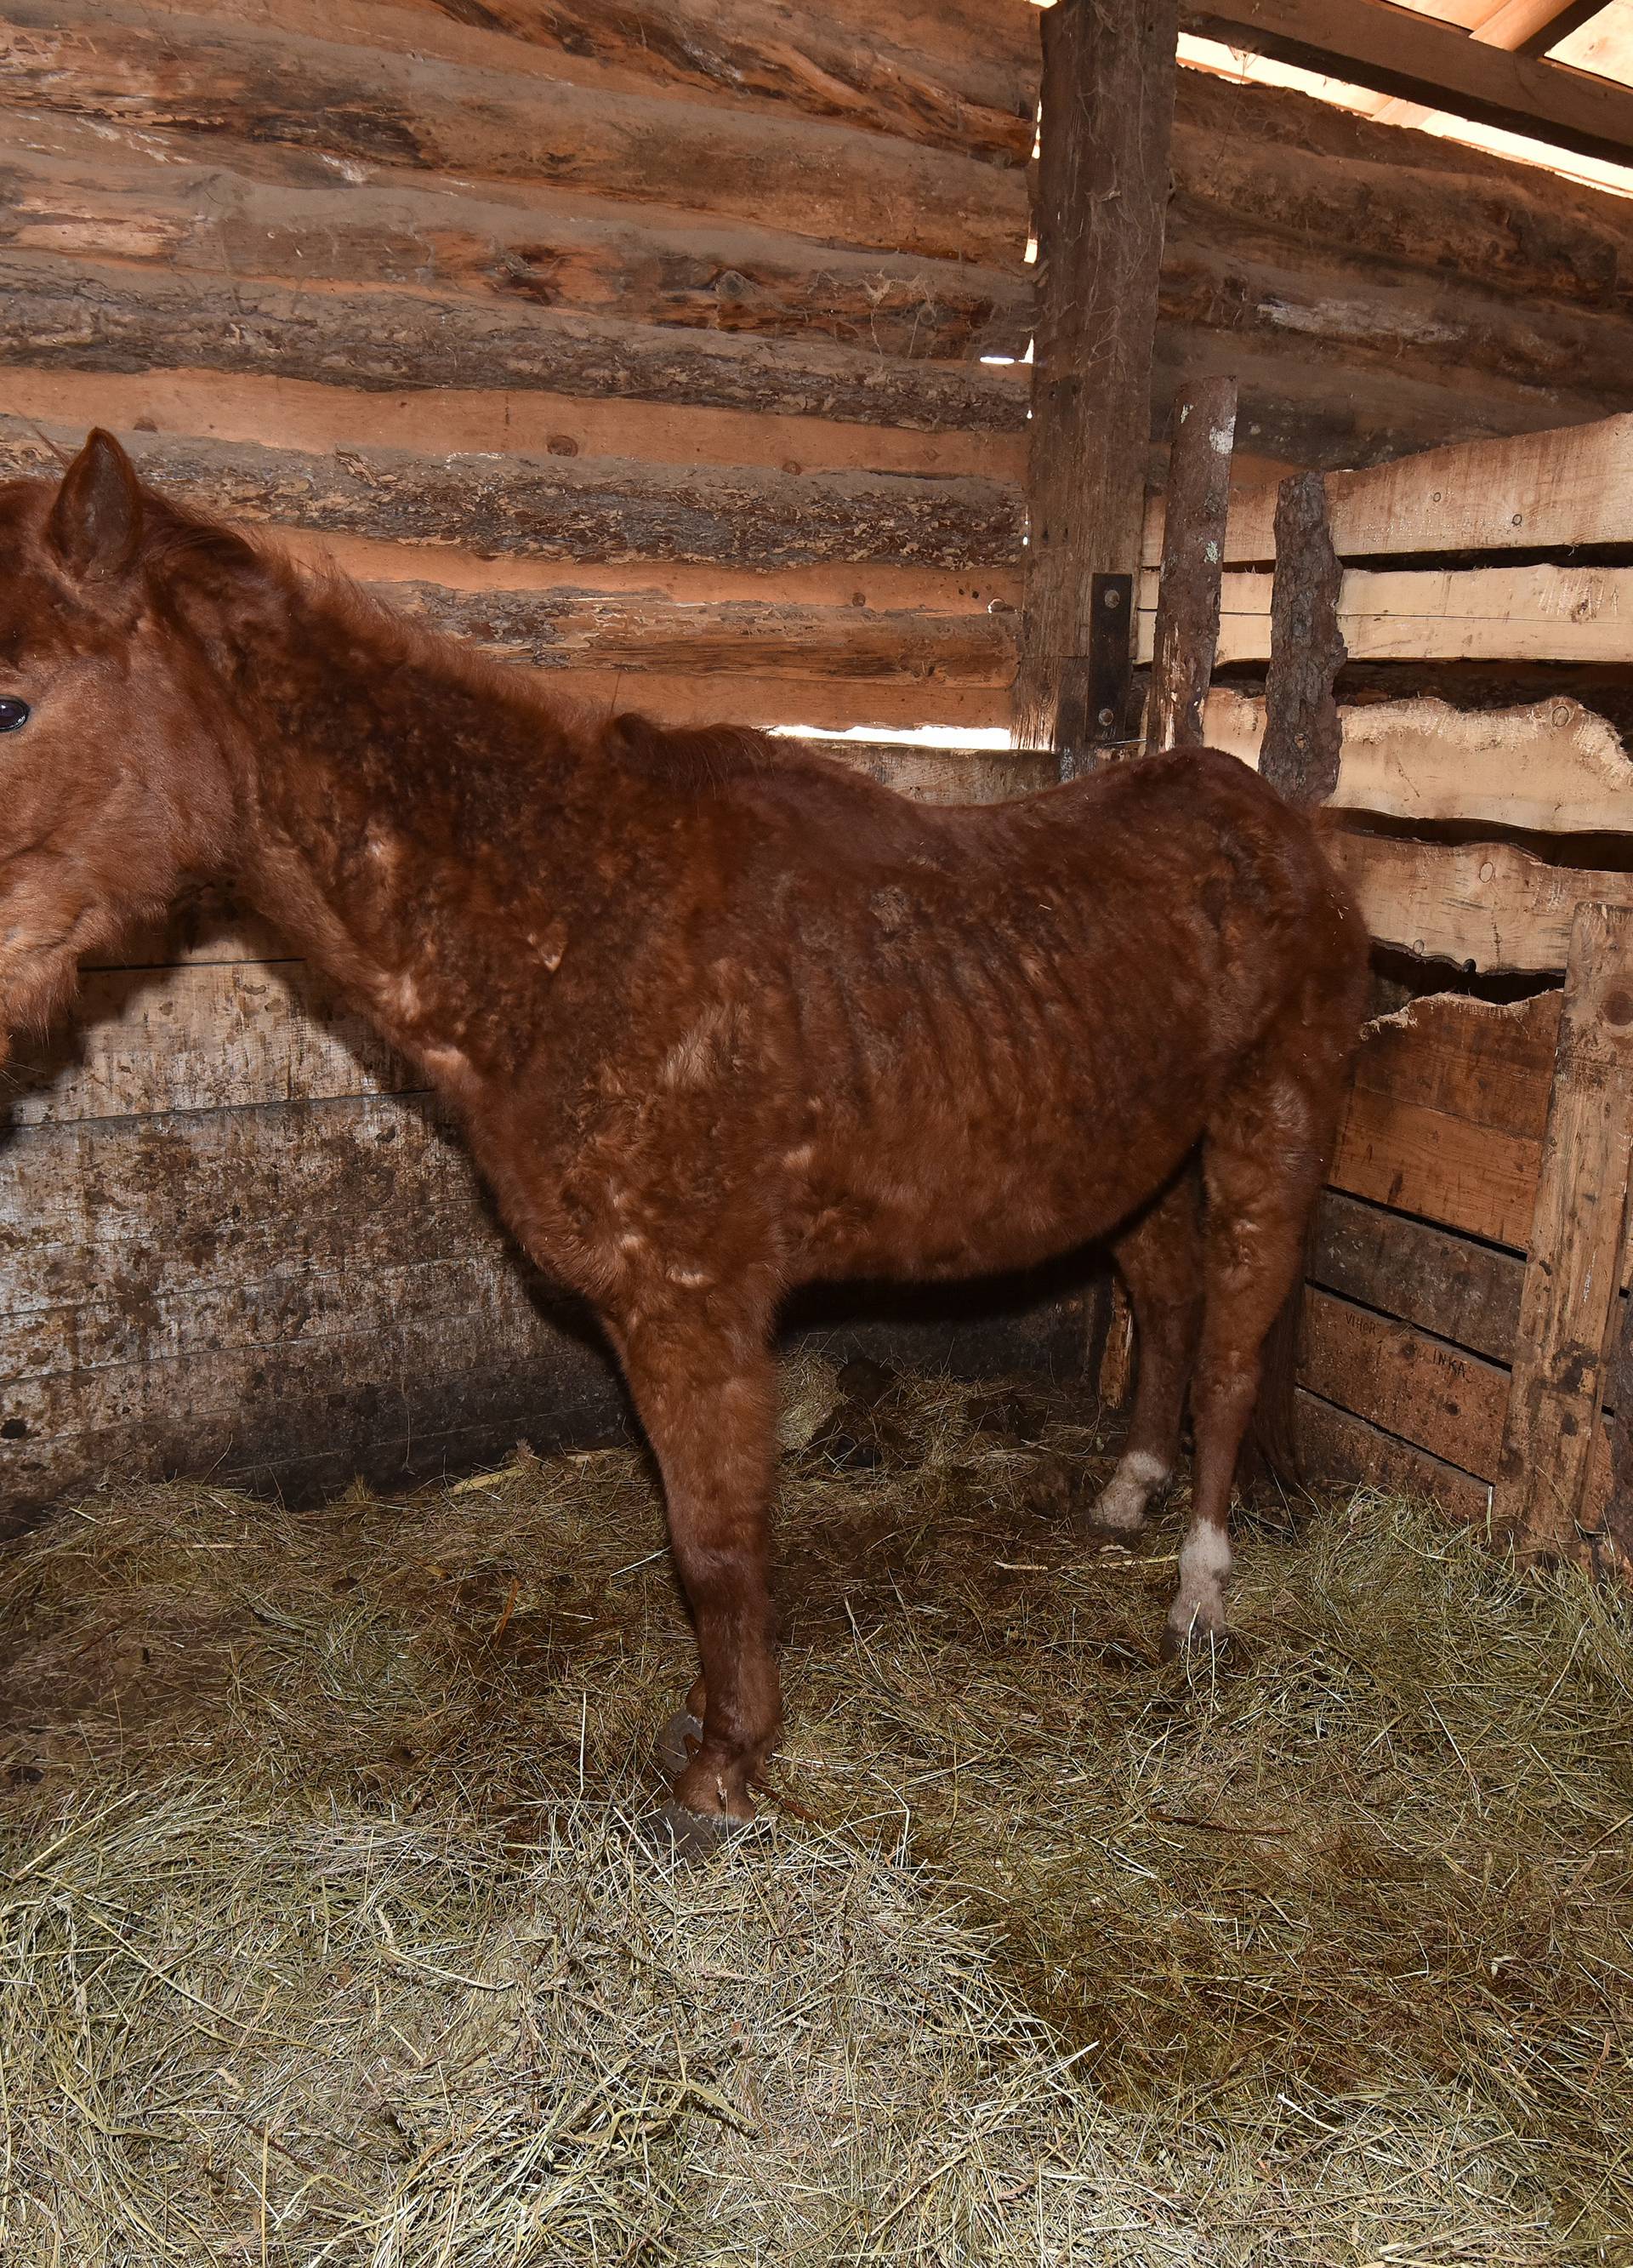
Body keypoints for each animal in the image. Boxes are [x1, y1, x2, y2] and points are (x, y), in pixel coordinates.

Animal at [3, 428, 1361, 1841]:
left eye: (12, 705)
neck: (581, 926)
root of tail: (1275, 820)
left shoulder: (697, 1307)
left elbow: (714, 1545)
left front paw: (727, 1766)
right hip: (1133, 1153)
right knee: (1168, 1297)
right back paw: (1126, 1491)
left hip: (1273, 1121)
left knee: (1233, 1351)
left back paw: (1198, 1594)